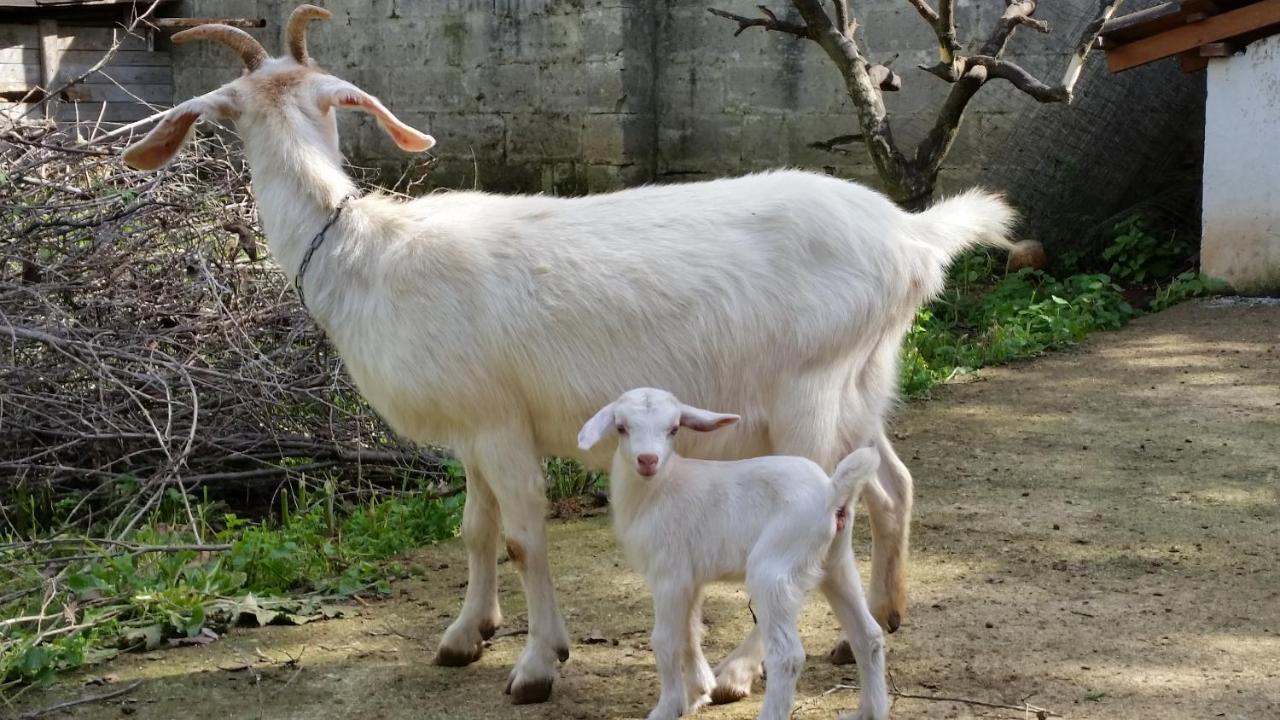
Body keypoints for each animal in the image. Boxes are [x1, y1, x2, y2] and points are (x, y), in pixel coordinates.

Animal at [581, 386, 890, 717]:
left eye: (673, 428)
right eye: (621, 427)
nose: (648, 460)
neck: (659, 488)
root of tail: (832, 492)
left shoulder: (669, 573)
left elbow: (666, 640)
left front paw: (667, 708)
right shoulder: (690, 578)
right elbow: (690, 632)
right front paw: (698, 692)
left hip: (775, 566)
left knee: (788, 656)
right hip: (836, 562)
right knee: (868, 636)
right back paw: (869, 712)